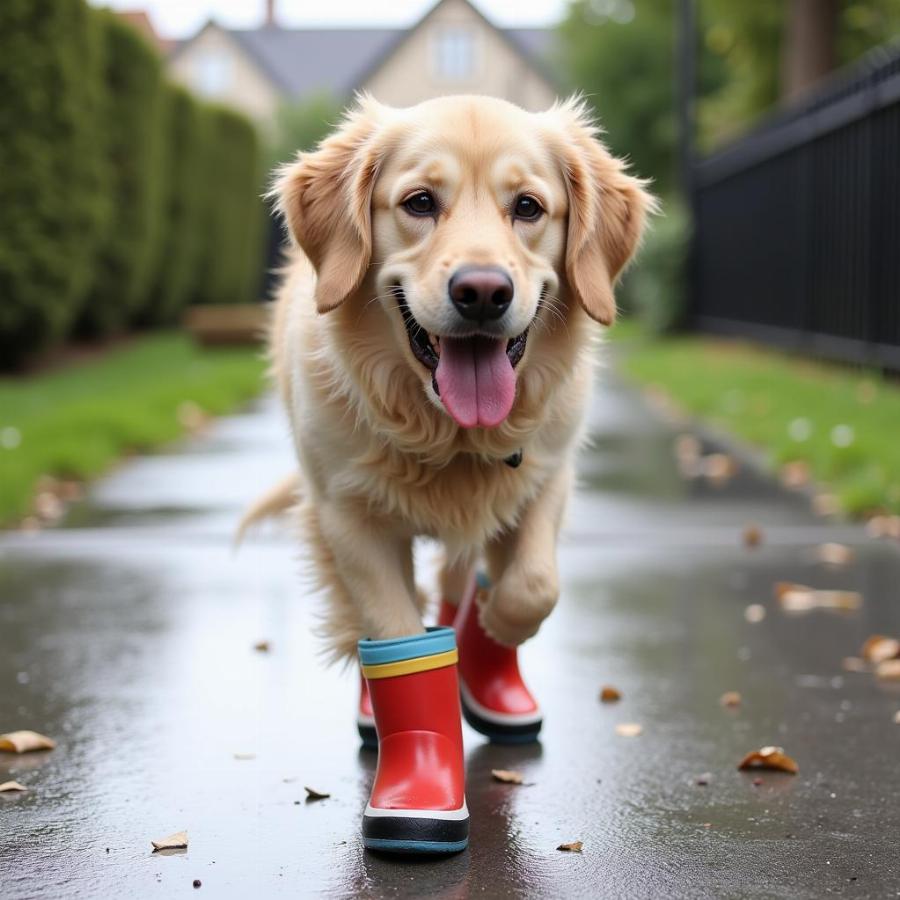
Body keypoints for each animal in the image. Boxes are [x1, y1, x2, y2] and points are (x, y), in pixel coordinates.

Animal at [260, 93, 652, 660]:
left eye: (528, 207)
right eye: (420, 202)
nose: (484, 293)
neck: (450, 435)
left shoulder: (549, 473)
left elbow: (535, 584)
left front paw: (499, 625)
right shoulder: (347, 516)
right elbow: (397, 632)